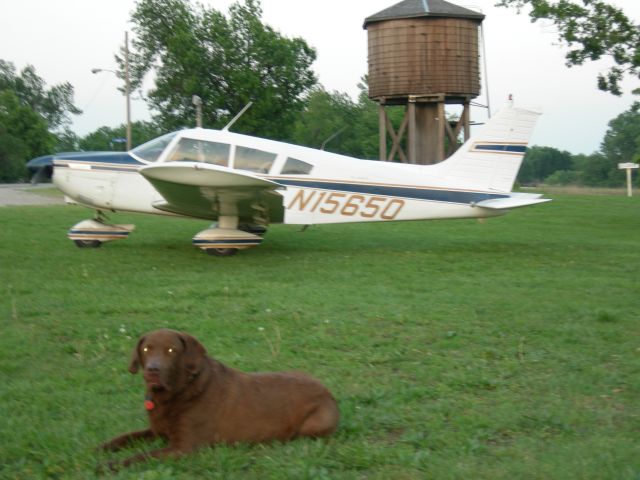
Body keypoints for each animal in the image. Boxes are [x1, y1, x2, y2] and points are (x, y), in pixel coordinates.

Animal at [100, 328, 338, 466]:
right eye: (147, 349)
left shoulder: (184, 448)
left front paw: (107, 465)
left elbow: (141, 456)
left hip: (314, 424)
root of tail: (327, 390)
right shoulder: (158, 431)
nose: (152, 370)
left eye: (171, 350)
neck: (180, 391)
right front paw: (101, 449)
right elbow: (126, 437)